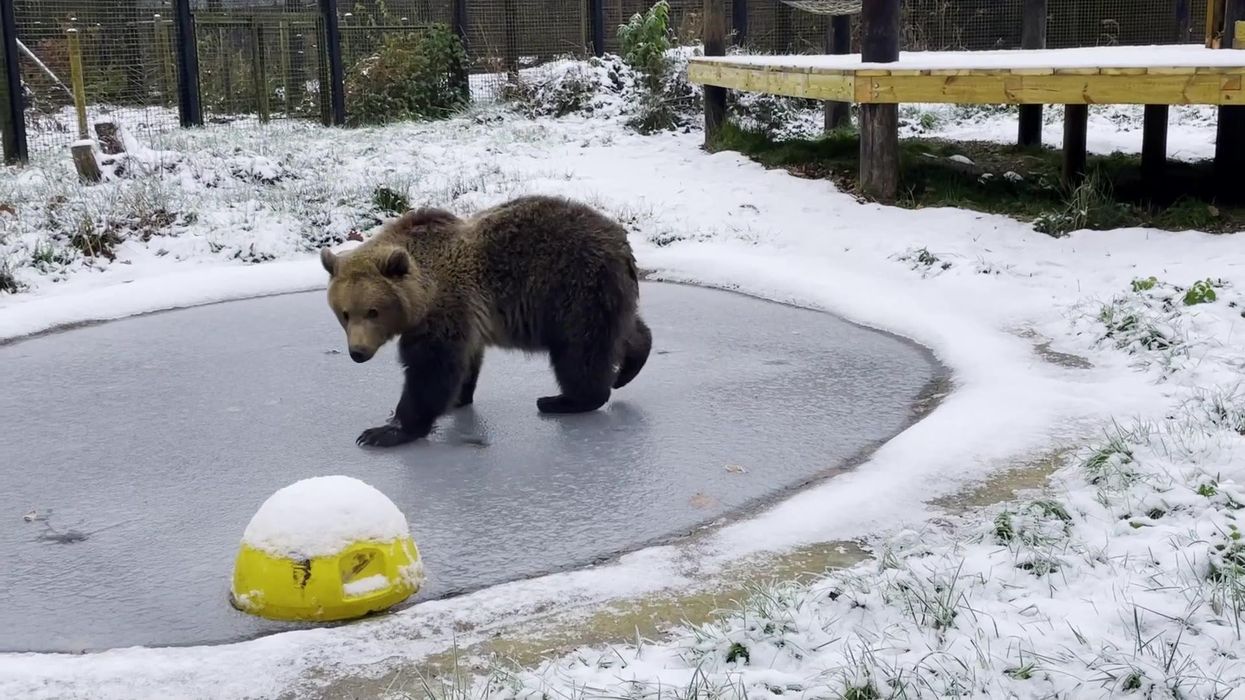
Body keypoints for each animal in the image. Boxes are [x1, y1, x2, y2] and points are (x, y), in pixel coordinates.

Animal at [319, 194, 652, 448]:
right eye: (345, 313)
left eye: (372, 311)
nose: (357, 352)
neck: (424, 293)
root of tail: (621, 240)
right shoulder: (465, 318)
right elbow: (465, 362)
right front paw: (458, 398)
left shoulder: (445, 310)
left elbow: (431, 369)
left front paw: (386, 430)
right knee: (620, 330)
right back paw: (629, 366)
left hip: (575, 288)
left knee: (579, 350)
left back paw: (563, 400)